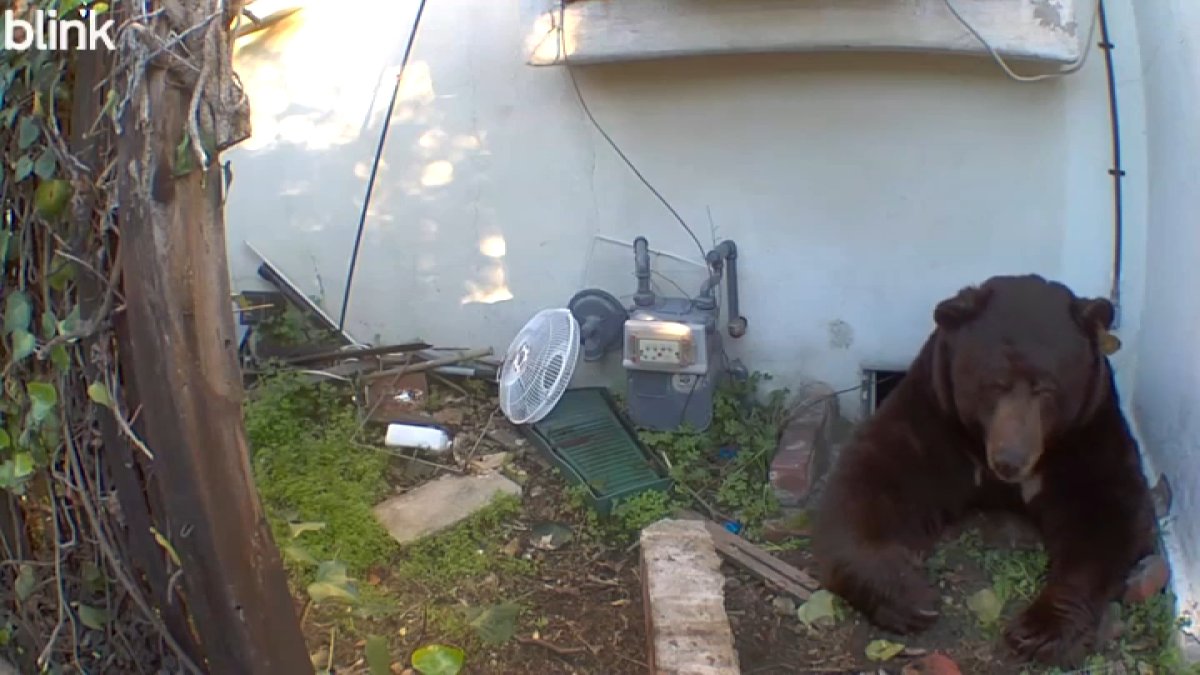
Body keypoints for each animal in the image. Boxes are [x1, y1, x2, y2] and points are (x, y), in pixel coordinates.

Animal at [811, 274, 1158, 669]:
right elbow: (870, 479)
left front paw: (1039, 630)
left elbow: (1109, 513)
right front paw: (910, 597)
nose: (1010, 459)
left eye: (1046, 388)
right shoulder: (934, 417)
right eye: (994, 384)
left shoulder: (1086, 434)